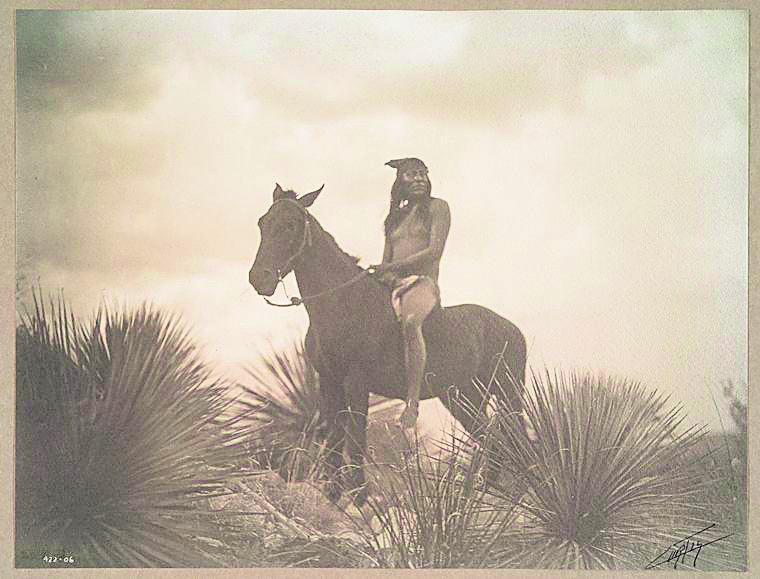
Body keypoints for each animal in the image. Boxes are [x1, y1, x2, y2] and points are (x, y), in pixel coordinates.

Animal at [246, 184, 524, 506]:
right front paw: (333, 495)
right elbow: (334, 438)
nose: (259, 278)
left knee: (514, 442)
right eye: (262, 223)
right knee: (494, 440)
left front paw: (359, 498)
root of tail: (511, 328)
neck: (342, 302)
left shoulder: (356, 382)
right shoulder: (328, 381)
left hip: (507, 394)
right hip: (462, 398)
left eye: (290, 224)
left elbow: (355, 439)